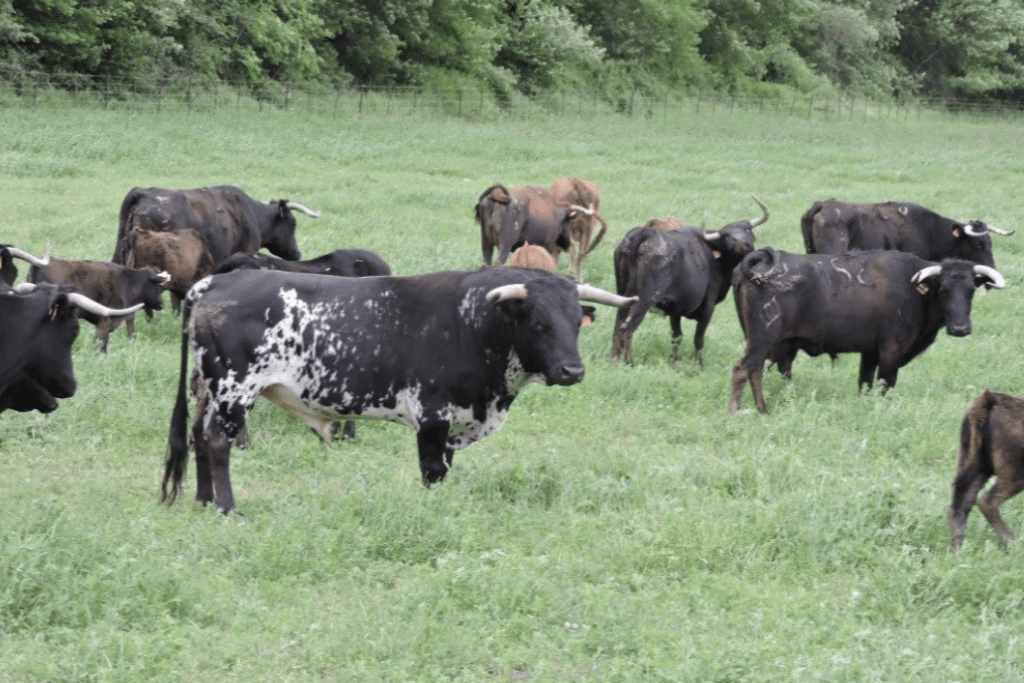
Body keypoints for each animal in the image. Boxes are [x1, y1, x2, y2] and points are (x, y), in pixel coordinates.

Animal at [161, 267, 637, 514]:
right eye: (539, 323)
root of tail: (216, 281)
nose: (573, 370)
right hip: (234, 389)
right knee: (217, 441)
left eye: (576, 322)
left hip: (211, 390)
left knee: (199, 436)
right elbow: (432, 470)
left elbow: (444, 468)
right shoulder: (432, 414)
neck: (475, 325)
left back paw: (203, 499)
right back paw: (227, 506)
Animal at [610, 196, 770, 366]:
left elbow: (677, 336)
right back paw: (629, 362)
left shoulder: (674, 308)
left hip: (623, 295)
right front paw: (699, 365)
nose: (741, 244)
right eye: (726, 236)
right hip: (645, 298)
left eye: (747, 229)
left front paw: (673, 362)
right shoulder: (708, 306)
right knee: (627, 328)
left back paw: (613, 358)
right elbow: (698, 338)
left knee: (618, 325)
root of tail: (645, 233)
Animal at [729, 249, 1005, 413]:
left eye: (971, 290)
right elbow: (885, 384)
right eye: (943, 289)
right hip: (763, 339)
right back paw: (737, 411)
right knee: (744, 369)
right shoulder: (891, 350)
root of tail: (762, 258)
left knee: (755, 371)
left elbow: (865, 383)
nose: (960, 328)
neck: (914, 288)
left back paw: (762, 409)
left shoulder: (870, 352)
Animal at [949, 390, 1024, 549]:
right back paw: (1012, 543)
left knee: (960, 504)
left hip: (975, 465)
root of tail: (988, 400)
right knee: (987, 502)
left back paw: (957, 548)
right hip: (1014, 473)